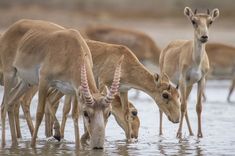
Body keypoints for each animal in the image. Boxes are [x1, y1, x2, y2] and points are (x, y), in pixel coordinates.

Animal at [0, 18, 122, 149]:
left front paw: (77, 147)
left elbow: (74, 115)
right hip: (9, 75)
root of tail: (12, 27)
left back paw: (15, 143)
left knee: (11, 103)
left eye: (109, 113)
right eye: (86, 113)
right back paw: (4, 144)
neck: (71, 50)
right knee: (3, 106)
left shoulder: (74, 90)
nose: (98, 146)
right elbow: (39, 113)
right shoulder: (44, 81)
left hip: (26, 82)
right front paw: (33, 146)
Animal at [159, 6, 219, 137]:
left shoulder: (201, 80)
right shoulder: (183, 80)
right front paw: (179, 133)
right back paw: (160, 133)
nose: (204, 37)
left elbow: (198, 106)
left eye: (210, 21)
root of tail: (167, 46)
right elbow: (182, 106)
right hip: (166, 78)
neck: (196, 61)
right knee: (165, 106)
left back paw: (191, 133)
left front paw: (199, 134)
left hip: (189, 85)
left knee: (185, 103)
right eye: (193, 21)